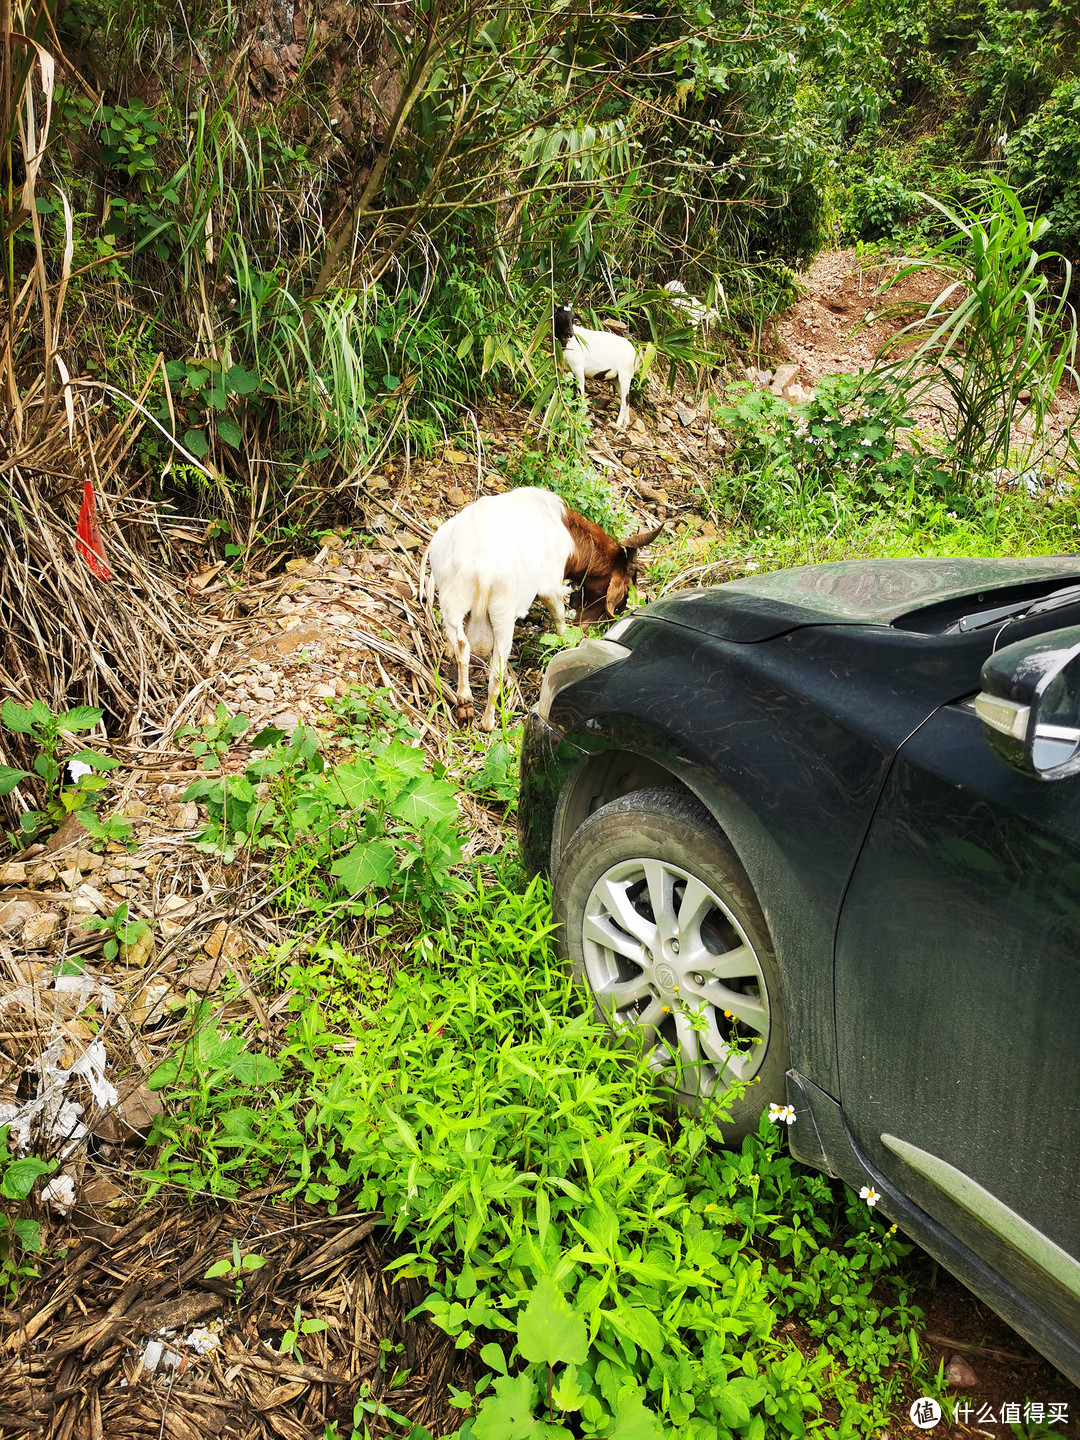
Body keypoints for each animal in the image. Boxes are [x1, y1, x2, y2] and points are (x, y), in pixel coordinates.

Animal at [420, 486, 659, 731]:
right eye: (626, 590)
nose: (592, 626)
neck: (568, 530)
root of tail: (483, 568)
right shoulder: (550, 585)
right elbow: (559, 616)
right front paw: (565, 643)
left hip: (453, 602)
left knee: (463, 645)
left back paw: (464, 701)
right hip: (503, 614)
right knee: (496, 671)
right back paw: (487, 722)